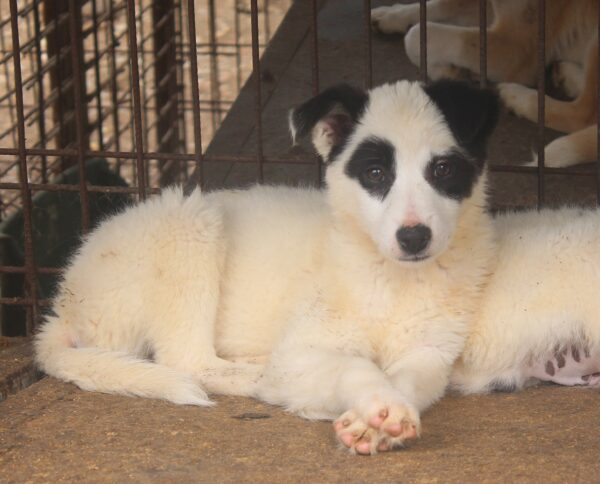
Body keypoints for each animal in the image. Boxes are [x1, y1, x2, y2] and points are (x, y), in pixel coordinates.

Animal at [372, 0, 596, 168]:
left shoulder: (516, 47)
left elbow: (417, 35)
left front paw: (449, 71)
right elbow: (440, 7)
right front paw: (391, 15)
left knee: (583, 114)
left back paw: (517, 98)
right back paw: (569, 76)